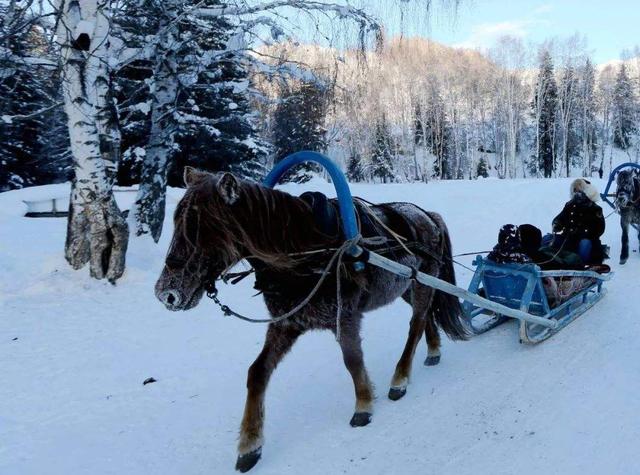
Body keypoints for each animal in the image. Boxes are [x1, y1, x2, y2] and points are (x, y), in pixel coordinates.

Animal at [154, 167, 464, 472]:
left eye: (200, 227)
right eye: (177, 222)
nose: (166, 293)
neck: (307, 250)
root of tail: (427, 215)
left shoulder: (345, 317)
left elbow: (352, 361)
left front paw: (363, 406)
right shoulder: (286, 324)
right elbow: (257, 373)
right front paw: (249, 444)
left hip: (421, 281)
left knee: (416, 324)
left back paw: (400, 378)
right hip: (408, 287)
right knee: (425, 316)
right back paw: (433, 350)